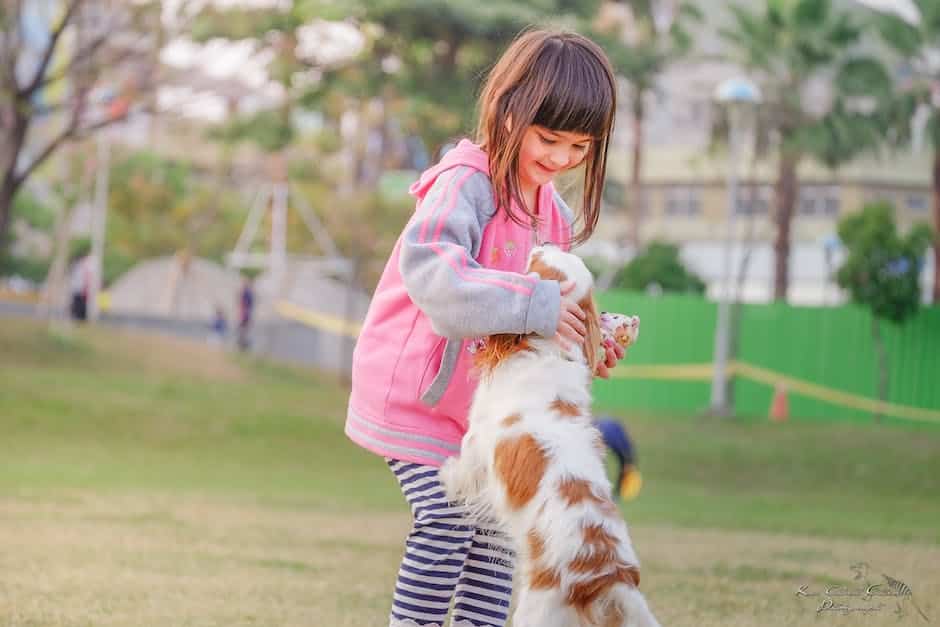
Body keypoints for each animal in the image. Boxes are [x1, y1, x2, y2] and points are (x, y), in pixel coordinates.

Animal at [438, 244, 652, 627]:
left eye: (536, 263)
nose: (546, 242)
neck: (547, 350)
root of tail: (608, 577)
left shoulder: (478, 439)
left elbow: (463, 467)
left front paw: (446, 474)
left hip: (536, 610)